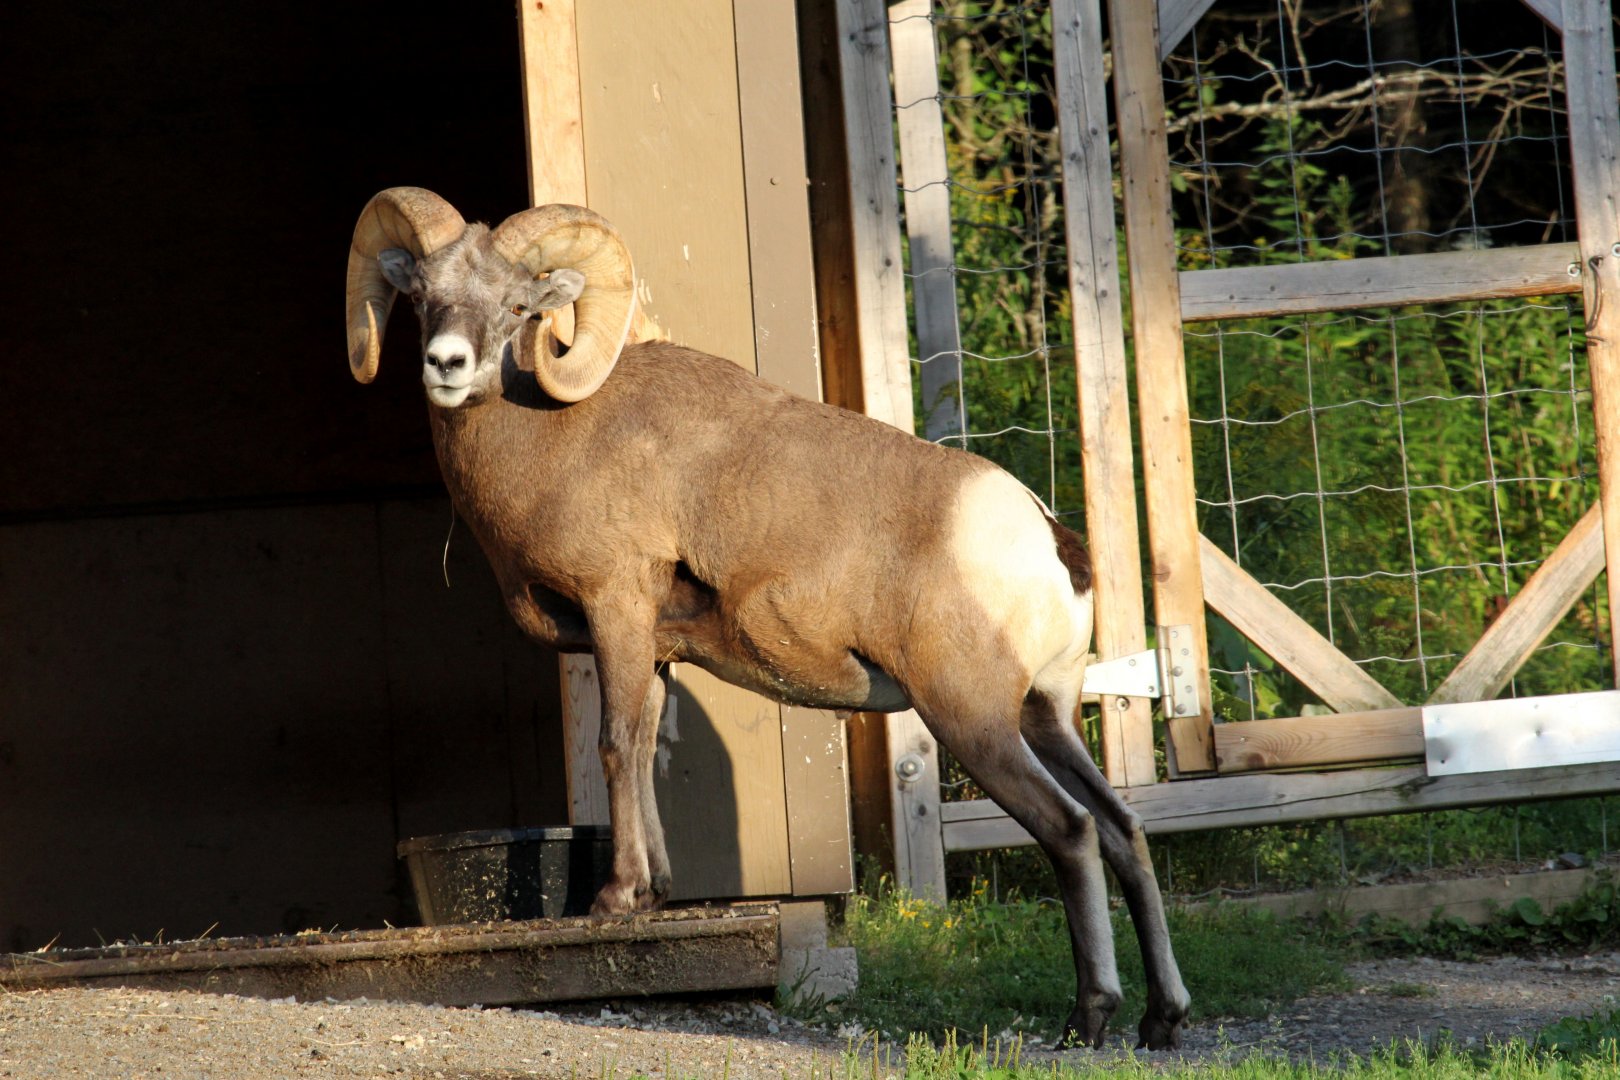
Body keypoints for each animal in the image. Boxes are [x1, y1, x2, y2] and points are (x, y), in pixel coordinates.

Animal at [344, 187, 1190, 1049]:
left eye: (517, 306)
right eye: (424, 297)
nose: (446, 365)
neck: (550, 438)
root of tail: (1051, 542)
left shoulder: (617, 611)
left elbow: (616, 747)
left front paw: (613, 902)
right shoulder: (655, 652)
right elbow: (646, 749)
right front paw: (657, 892)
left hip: (973, 722)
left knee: (1071, 832)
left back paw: (1090, 1015)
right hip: (1045, 717)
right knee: (1122, 829)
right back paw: (1162, 1018)